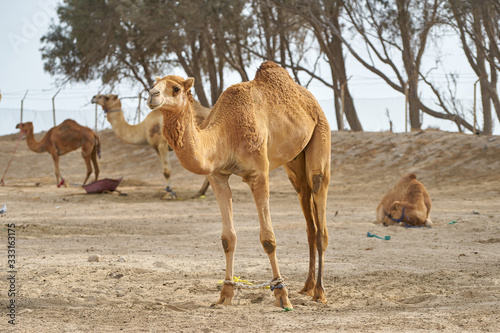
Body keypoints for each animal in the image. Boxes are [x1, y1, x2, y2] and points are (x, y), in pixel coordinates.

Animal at [148, 61, 332, 308]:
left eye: (176, 89)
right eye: (154, 83)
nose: (152, 95)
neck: (226, 133)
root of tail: (309, 99)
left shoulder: (259, 174)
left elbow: (268, 239)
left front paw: (282, 295)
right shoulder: (217, 177)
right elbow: (228, 238)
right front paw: (225, 294)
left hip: (321, 135)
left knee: (319, 203)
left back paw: (319, 292)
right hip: (294, 162)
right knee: (306, 207)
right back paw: (307, 287)